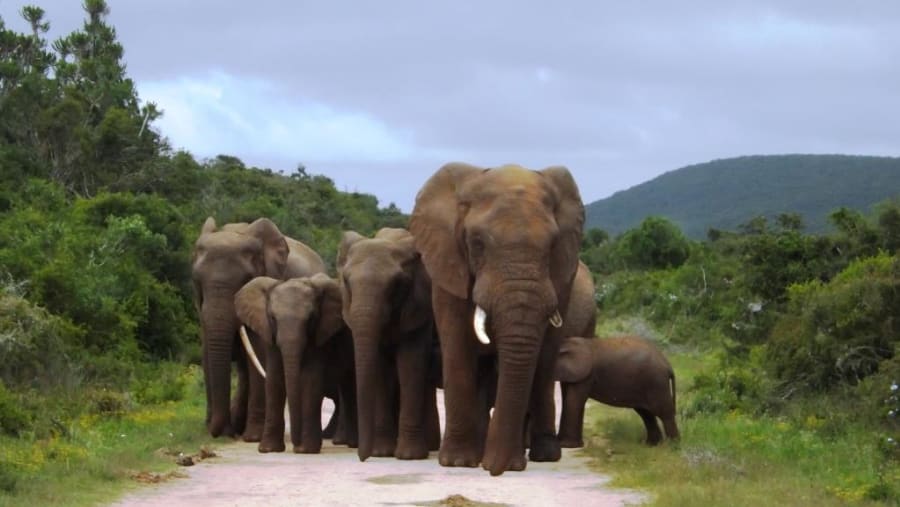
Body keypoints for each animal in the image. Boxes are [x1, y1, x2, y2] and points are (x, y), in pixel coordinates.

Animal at [191, 216, 326, 440]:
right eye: (197, 280)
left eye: (246, 280)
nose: (222, 433)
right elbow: (206, 354)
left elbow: (259, 350)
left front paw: (252, 437)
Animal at [234, 273, 357, 453]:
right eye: (272, 318)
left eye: (311, 319)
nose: (295, 444)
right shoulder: (269, 332)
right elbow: (274, 379)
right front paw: (268, 449)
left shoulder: (320, 333)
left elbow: (311, 379)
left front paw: (306, 450)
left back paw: (351, 444)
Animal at [337, 227, 441, 461]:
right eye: (346, 282)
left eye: (396, 285)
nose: (362, 458)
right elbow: (380, 368)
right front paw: (381, 453)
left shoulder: (420, 305)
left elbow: (411, 364)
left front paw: (409, 456)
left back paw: (430, 447)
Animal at [409, 163, 584, 475]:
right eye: (477, 243)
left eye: (552, 245)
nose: (495, 470)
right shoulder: (448, 264)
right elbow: (457, 347)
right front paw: (457, 463)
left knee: (544, 364)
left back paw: (544, 455)